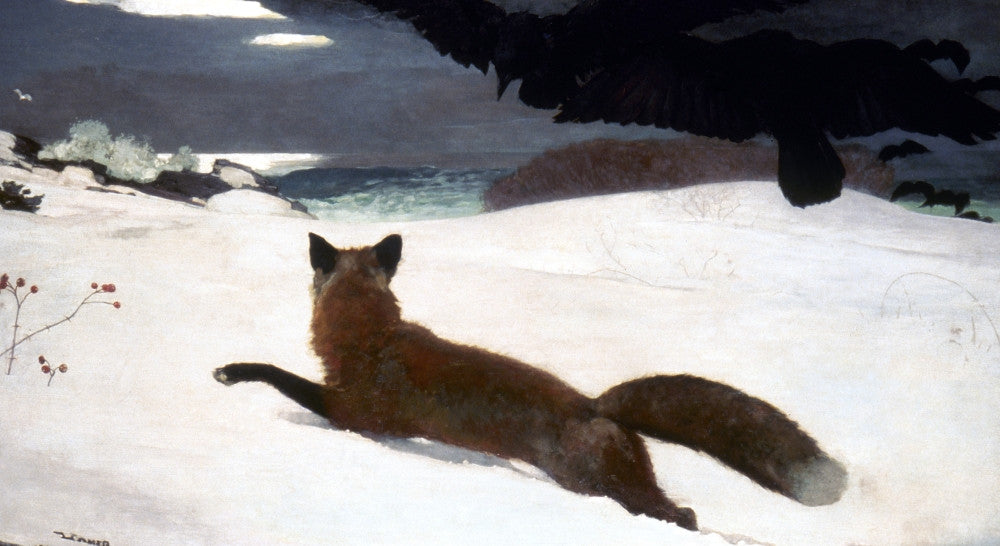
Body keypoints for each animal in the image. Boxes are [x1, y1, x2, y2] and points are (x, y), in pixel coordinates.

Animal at [213, 233, 847, 531]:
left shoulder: (352, 413)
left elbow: (277, 376)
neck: (371, 339)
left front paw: (233, 371)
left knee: (678, 516)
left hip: (600, 487)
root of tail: (594, 404)